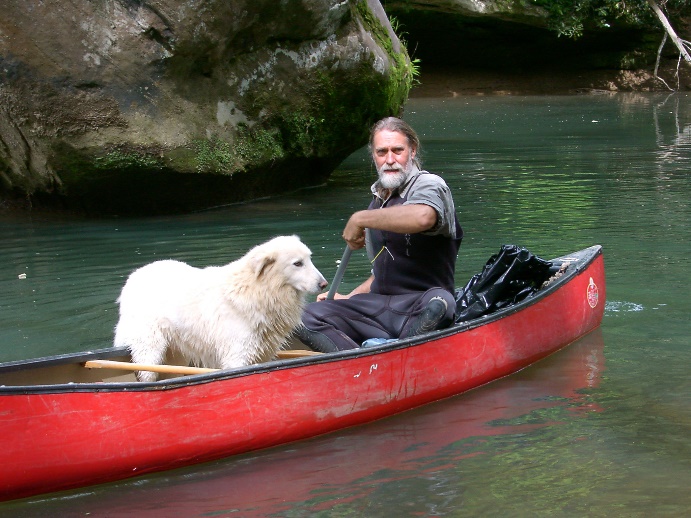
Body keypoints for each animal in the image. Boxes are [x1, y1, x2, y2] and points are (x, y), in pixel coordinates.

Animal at [113, 238, 328, 384]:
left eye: (309, 259)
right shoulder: (237, 355)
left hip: (176, 347)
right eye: (297, 263)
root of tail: (134, 276)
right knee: (147, 372)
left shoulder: (264, 352)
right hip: (150, 346)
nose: (324, 284)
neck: (258, 290)